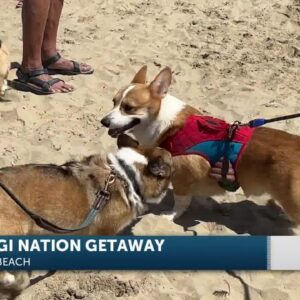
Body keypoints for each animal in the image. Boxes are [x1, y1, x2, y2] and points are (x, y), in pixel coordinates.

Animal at [101, 65, 300, 223]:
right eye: (113, 102)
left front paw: (170, 216)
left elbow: (181, 202)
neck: (165, 123)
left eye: (128, 108)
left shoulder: (181, 178)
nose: (103, 121)